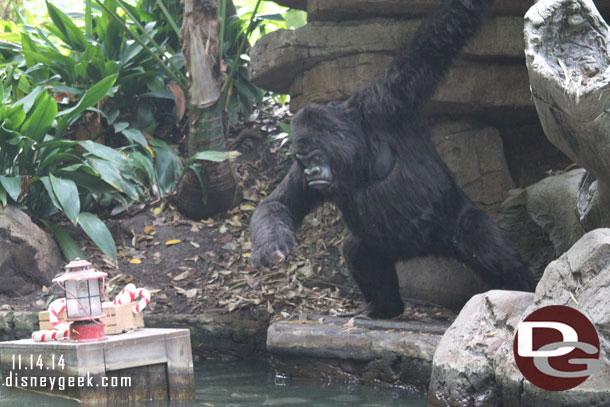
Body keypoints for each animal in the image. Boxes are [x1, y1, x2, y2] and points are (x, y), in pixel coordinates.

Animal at [247, 0, 532, 318]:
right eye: (304, 160)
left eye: (317, 156)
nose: (312, 172)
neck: (357, 145)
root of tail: (427, 250)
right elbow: (279, 204)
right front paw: (271, 248)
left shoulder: (388, 99)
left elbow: (438, 38)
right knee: (359, 251)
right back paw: (384, 307)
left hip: (454, 223)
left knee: (485, 245)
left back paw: (523, 292)